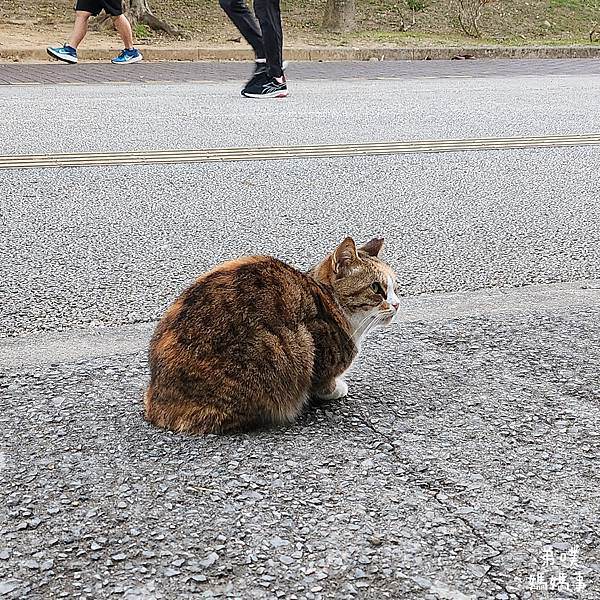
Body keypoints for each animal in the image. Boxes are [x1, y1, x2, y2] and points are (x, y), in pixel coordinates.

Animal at [143, 237, 400, 434]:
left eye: (395, 287)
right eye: (376, 288)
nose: (397, 304)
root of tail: (157, 398)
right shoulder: (317, 350)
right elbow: (322, 382)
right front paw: (336, 389)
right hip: (288, 345)